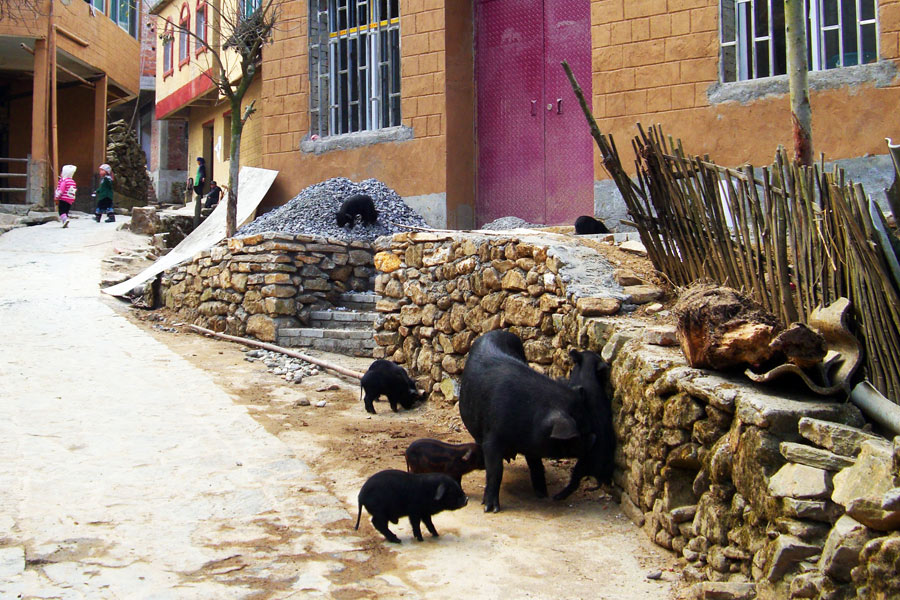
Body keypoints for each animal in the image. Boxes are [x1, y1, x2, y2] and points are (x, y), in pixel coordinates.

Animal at [460, 330, 596, 512]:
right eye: (581, 432)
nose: (595, 438)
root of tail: (497, 331)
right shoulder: (492, 437)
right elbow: (495, 470)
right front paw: (491, 508)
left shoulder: (533, 442)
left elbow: (536, 464)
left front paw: (542, 494)